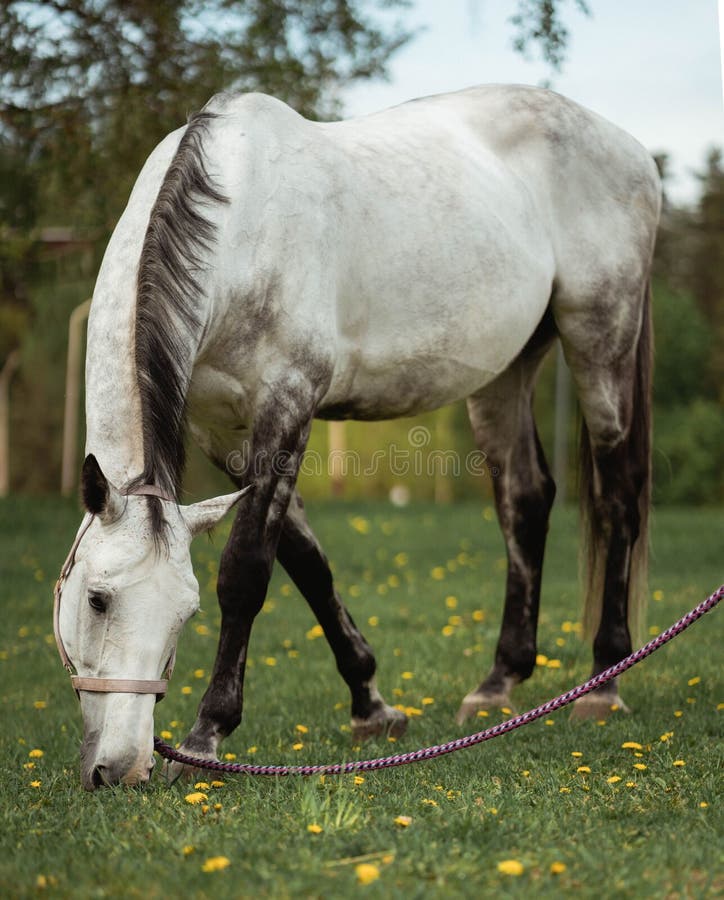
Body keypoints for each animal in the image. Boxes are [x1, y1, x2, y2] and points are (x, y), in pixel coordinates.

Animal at [54, 84, 660, 789]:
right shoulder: (222, 433)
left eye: (186, 614)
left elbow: (246, 571)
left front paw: (208, 733)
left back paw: (604, 681)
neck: (242, 225)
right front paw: (371, 705)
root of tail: (629, 148)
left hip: (601, 338)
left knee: (618, 496)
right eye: (96, 600)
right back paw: (498, 682)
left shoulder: (286, 405)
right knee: (525, 500)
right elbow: (309, 566)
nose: (122, 768)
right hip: (506, 371)